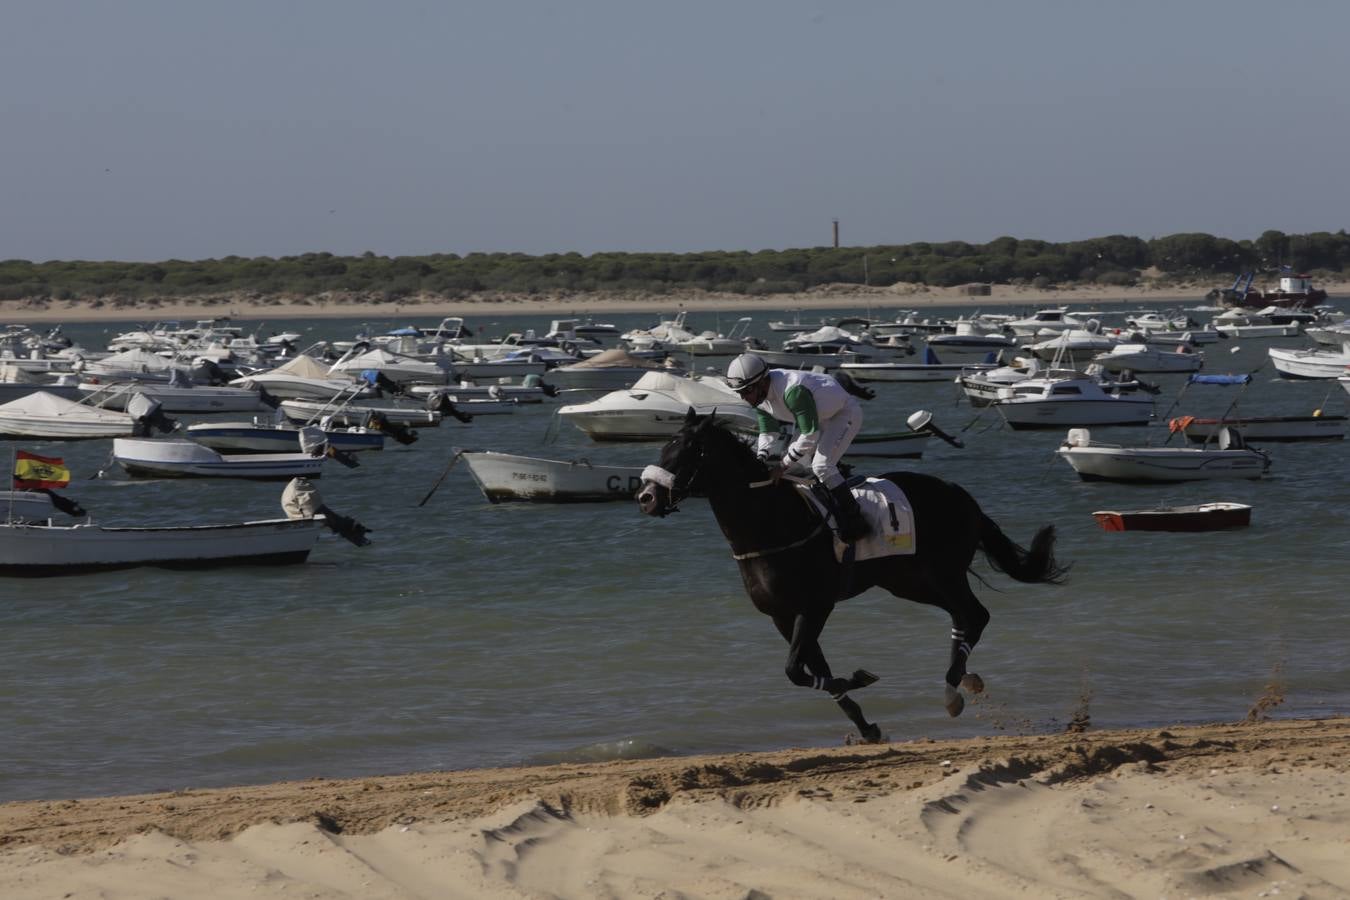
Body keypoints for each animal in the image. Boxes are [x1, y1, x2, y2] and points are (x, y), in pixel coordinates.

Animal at [637, 412, 1069, 744]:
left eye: (687, 450)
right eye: (663, 447)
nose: (646, 498)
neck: (772, 525)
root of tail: (961, 495)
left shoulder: (815, 606)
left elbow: (797, 671)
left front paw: (860, 679)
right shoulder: (782, 616)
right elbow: (813, 672)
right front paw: (867, 725)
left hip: (942, 572)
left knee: (974, 615)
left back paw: (952, 690)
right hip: (909, 582)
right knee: (966, 617)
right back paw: (965, 680)